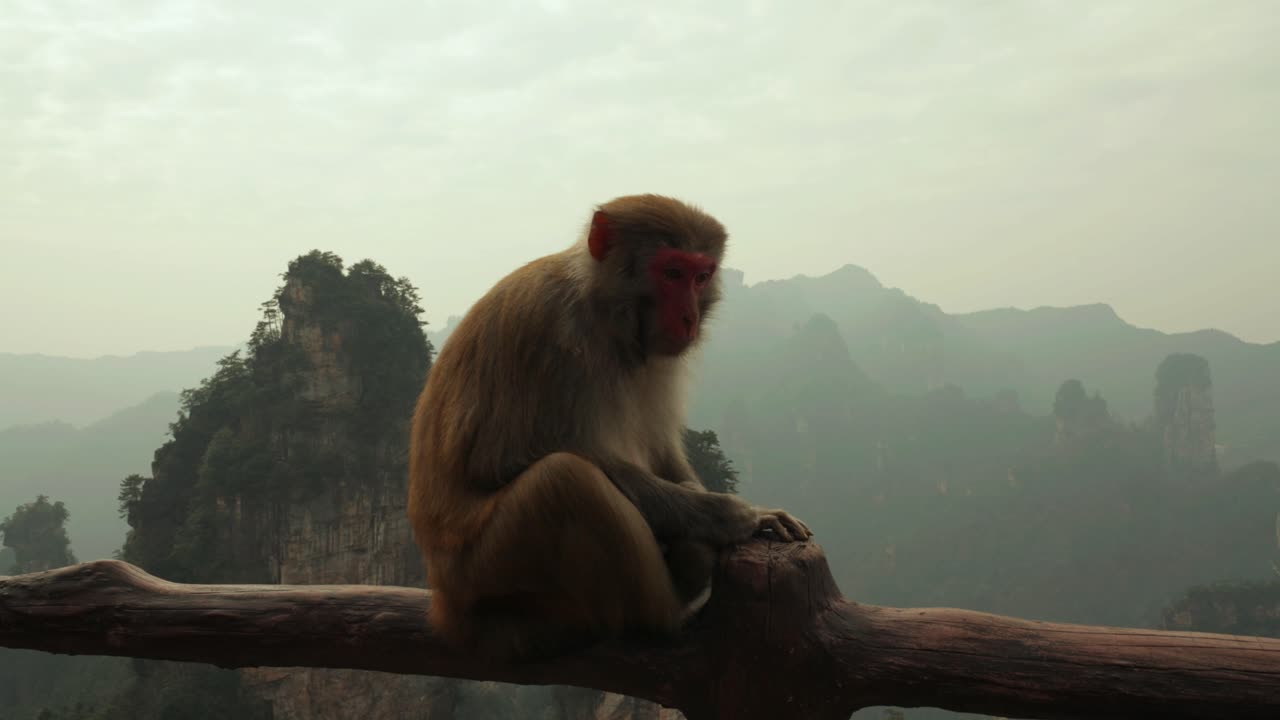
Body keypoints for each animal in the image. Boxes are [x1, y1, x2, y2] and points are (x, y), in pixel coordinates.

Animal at [407, 193, 812, 662]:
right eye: (672, 273)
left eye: (701, 276)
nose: (689, 318)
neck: (605, 312)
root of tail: (445, 607)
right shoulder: (552, 333)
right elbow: (501, 459)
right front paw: (728, 515)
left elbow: (659, 447)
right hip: (481, 570)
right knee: (564, 480)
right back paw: (668, 610)